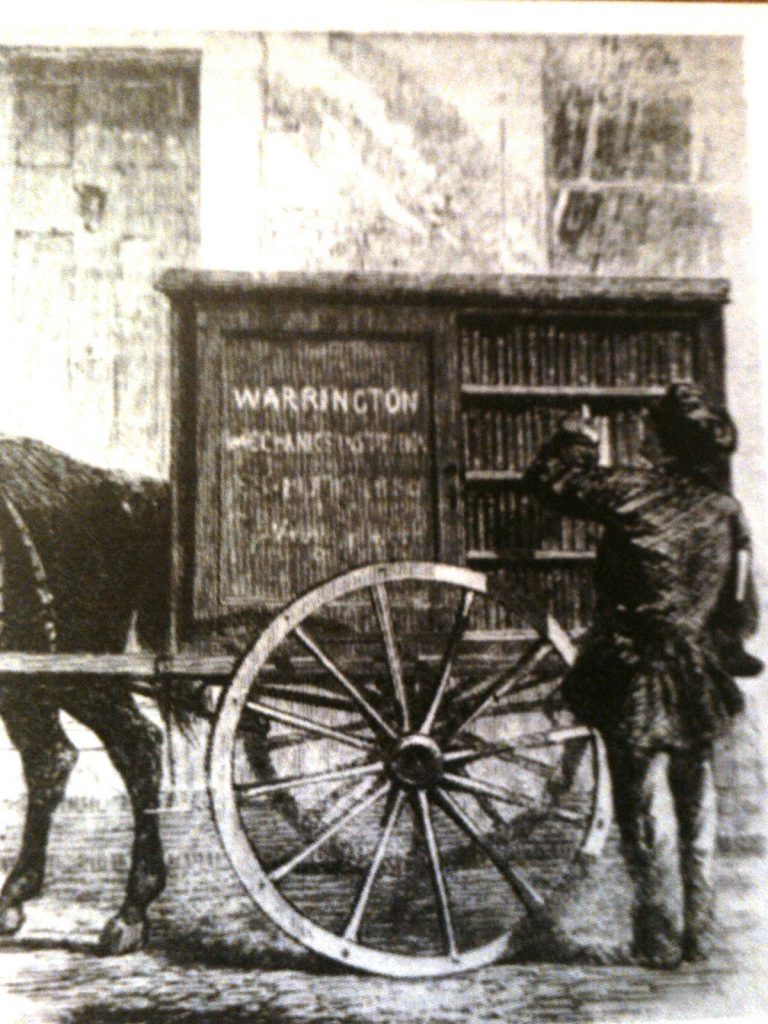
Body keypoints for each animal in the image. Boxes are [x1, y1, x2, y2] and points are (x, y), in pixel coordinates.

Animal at [0, 436, 173, 954]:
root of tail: (114, 485)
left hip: (71, 669)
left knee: (135, 746)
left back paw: (131, 911)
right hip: (38, 679)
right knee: (55, 757)